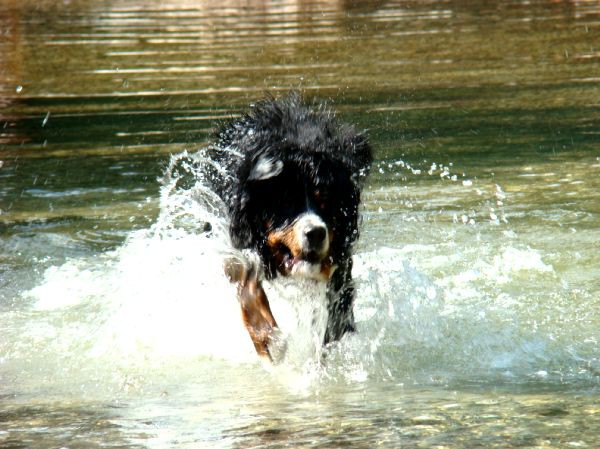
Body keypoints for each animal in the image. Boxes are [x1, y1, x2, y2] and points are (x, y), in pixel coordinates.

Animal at [203, 92, 370, 360]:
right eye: (287, 203)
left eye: (326, 202)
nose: (316, 233)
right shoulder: (236, 245)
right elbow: (249, 286)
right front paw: (268, 337)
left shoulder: (340, 260)